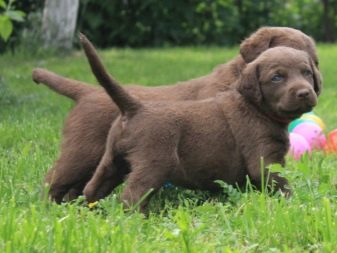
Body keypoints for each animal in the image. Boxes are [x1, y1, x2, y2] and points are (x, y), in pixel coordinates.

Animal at [32, 26, 318, 203]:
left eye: (312, 64)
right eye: (279, 75)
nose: (311, 87)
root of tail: (88, 91)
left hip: (107, 160)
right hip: (82, 153)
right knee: (53, 181)